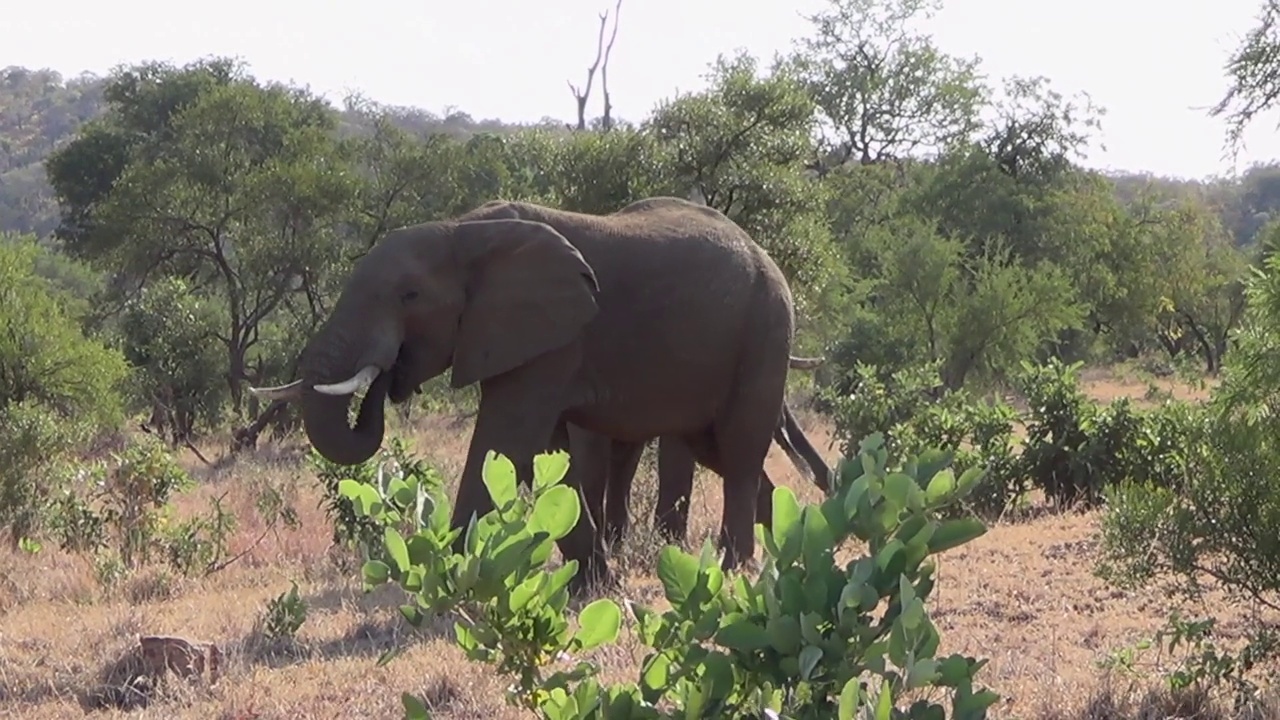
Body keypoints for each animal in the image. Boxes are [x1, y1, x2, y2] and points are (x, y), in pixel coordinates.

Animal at [250, 194, 829, 589]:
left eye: (409, 295)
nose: (388, 374)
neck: (463, 231)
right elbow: (552, 455)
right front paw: (595, 586)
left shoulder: (554, 339)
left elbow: (502, 443)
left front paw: (452, 584)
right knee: (725, 454)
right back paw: (789, 547)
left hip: (765, 332)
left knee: (740, 449)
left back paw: (735, 571)